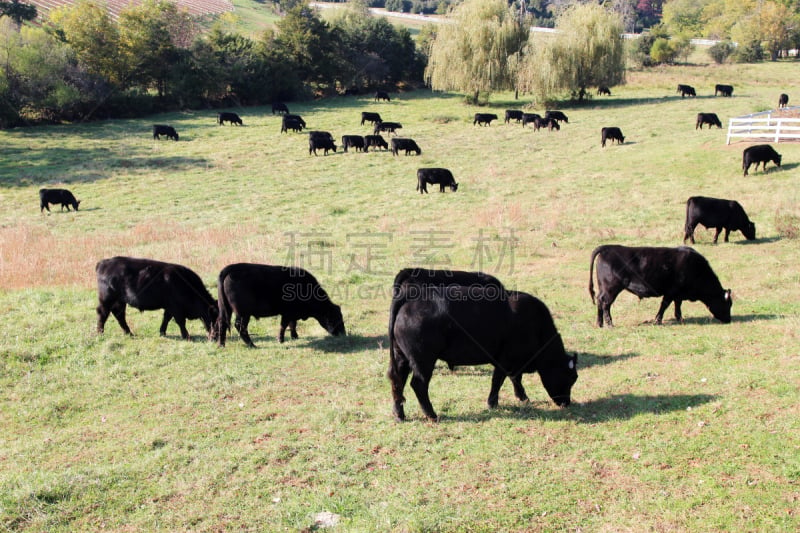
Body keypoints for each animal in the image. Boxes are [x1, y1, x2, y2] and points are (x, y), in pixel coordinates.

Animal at [217, 262, 346, 348]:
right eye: (334, 318)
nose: (342, 334)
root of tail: (231, 268)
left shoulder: (292, 313)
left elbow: (292, 324)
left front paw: (295, 336)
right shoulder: (287, 312)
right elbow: (284, 325)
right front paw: (281, 339)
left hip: (225, 309)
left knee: (222, 323)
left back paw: (221, 345)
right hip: (243, 313)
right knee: (240, 326)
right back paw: (251, 344)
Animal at [388, 284, 576, 422]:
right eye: (568, 377)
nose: (566, 403)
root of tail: (412, 296)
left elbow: (515, 378)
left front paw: (522, 397)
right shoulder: (505, 359)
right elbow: (499, 380)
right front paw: (492, 403)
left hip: (402, 358)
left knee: (397, 381)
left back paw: (399, 415)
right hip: (423, 360)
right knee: (418, 384)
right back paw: (432, 415)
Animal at [588, 243, 732, 326]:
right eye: (727, 304)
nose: (729, 320)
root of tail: (608, 248)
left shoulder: (678, 294)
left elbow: (677, 305)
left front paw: (680, 319)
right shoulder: (671, 292)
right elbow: (665, 305)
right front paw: (657, 320)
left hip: (603, 288)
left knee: (600, 301)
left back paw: (599, 324)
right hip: (611, 288)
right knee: (605, 304)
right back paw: (609, 324)